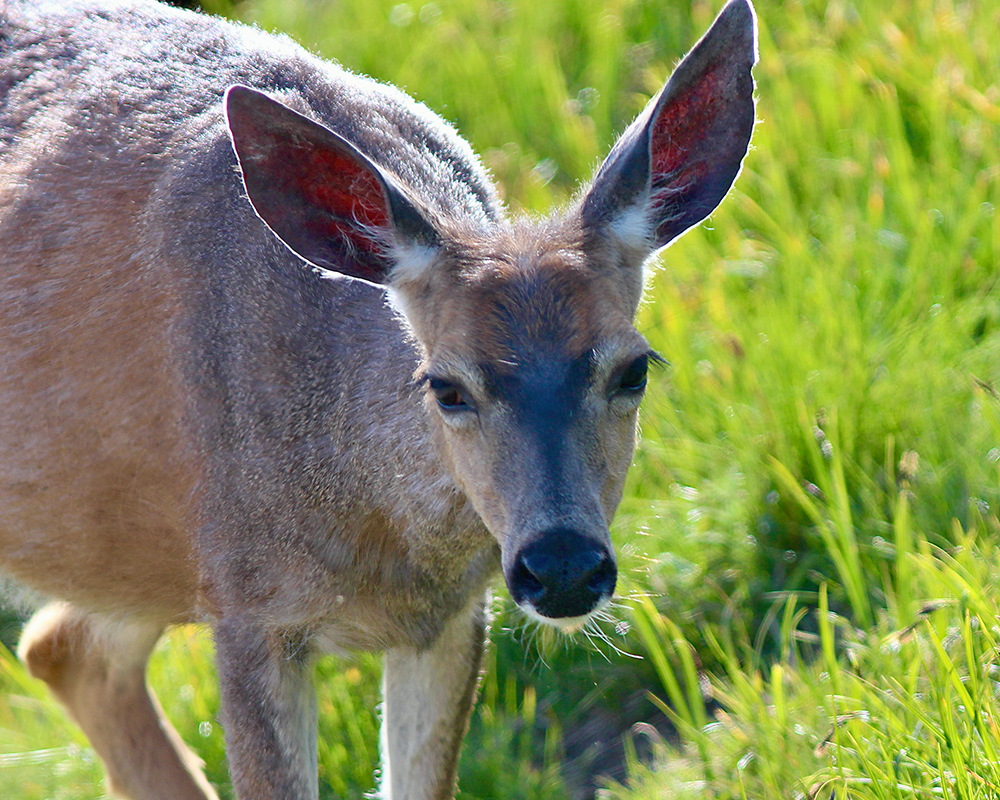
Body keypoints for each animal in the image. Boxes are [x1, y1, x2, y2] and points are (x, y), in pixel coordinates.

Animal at [0, 0, 752, 796]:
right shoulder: (247, 606)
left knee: (62, 647)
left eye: (634, 370)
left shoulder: (452, 613)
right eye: (446, 387)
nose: (564, 567)